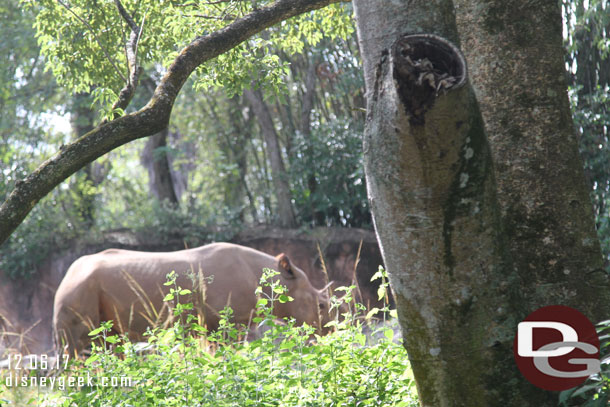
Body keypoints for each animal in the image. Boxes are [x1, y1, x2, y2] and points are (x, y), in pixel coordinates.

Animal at [54, 244, 330, 356]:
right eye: (321, 305)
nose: (329, 331)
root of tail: (64, 276)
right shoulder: (229, 321)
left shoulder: (213, 323)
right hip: (78, 290)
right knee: (82, 346)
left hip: (82, 288)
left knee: (107, 344)